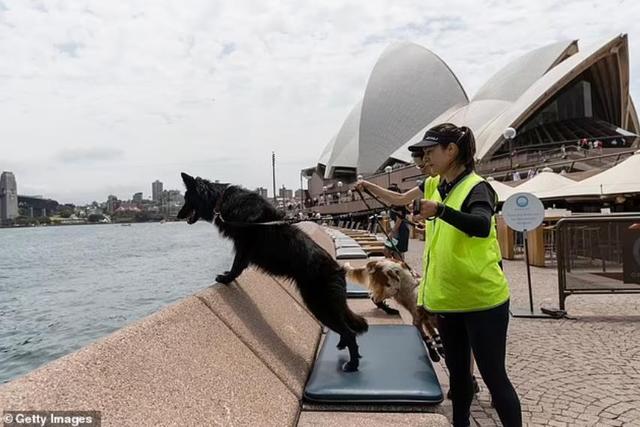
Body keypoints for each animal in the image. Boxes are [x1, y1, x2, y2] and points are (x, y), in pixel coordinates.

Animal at [178, 173, 368, 372]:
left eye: (186, 198)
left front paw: (226, 278)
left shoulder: (243, 245)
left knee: (350, 333)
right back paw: (342, 345)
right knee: (347, 329)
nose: (177, 216)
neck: (221, 199)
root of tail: (338, 270)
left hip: (320, 306)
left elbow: (237, 266)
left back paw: (352, 364)